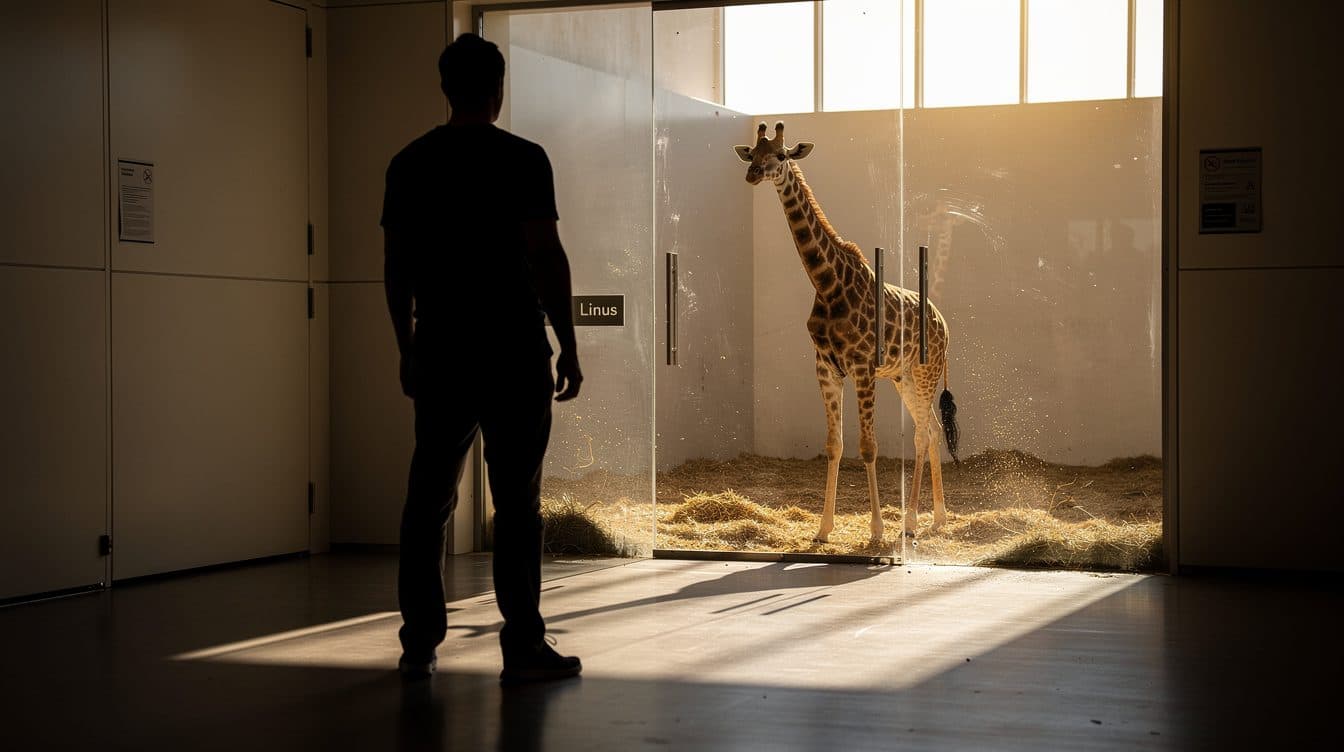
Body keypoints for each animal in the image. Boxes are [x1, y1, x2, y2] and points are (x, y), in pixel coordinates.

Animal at [735, 122, 961, 543]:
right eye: (754, 153)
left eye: (782, 155)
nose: (753, 174)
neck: (827, 284)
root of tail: (944, 324)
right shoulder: (826, 367)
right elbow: (834, 445)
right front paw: (823, 529)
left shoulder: (861, 366)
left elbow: (868, 446)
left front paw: (875, 531)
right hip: (904, 377)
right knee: (934, 430)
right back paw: (936, 518)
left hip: (924, 373)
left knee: (923, 433)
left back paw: (910, 522)